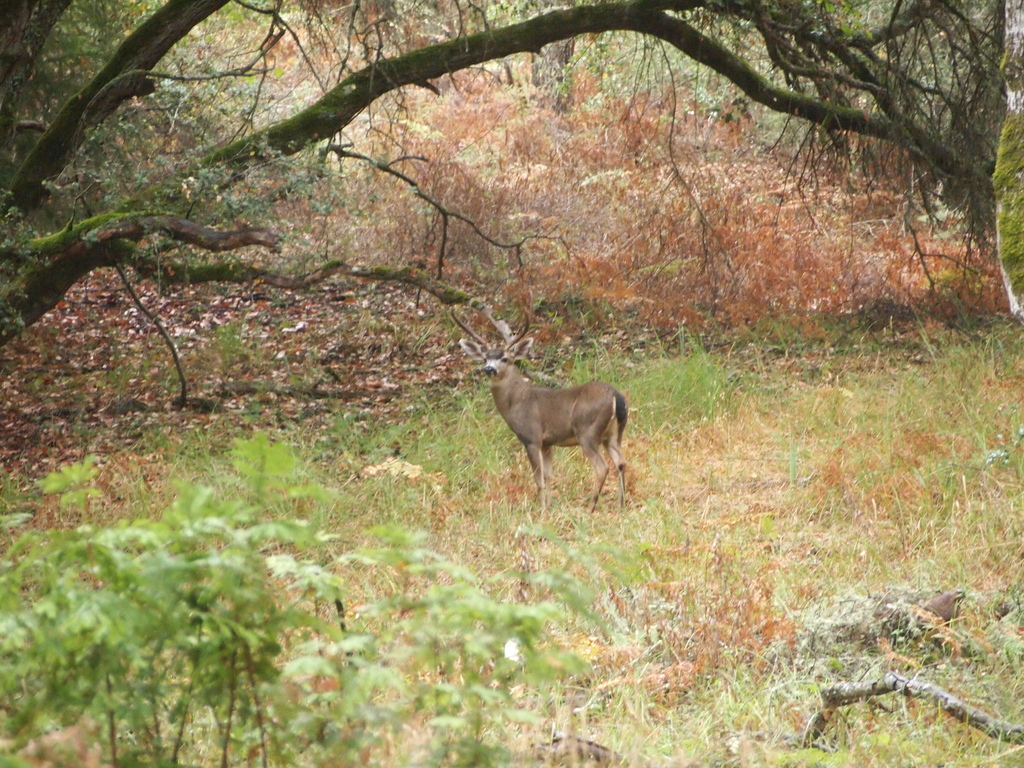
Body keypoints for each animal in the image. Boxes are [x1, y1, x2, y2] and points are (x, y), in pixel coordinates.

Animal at [454, 309, 626, 514]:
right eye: (485, 358)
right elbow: (549, 475)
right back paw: (621, 504)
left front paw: (541, 510)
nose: (489, 369)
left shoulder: (531, 437)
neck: (516, 402)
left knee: (602, 467)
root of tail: (616, 395)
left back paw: (590, 508)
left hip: (588, 431)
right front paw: (549, 506)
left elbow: (539, 479)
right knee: (621, 462)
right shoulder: (547, 442)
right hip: (613, 434)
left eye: (505, 358)